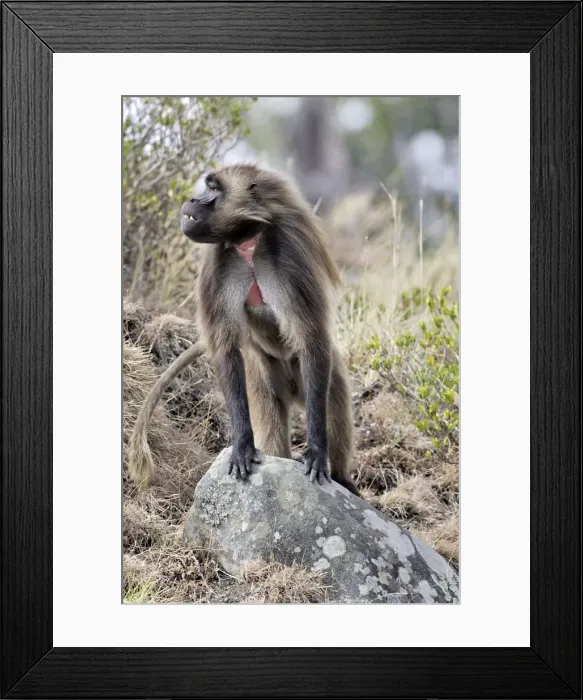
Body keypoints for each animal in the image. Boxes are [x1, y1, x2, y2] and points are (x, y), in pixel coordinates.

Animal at [128, 164, 359, 496]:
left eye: (214, 189)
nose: (193, 200)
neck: (248, 243)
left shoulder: (289, 257)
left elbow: (311, 338)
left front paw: (316, 450)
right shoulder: (219, 265)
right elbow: (226, 349)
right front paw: (242, 444)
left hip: (319, 372)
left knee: (333, 400)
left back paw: (340, 476)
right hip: (262, 374)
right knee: (271, 417)